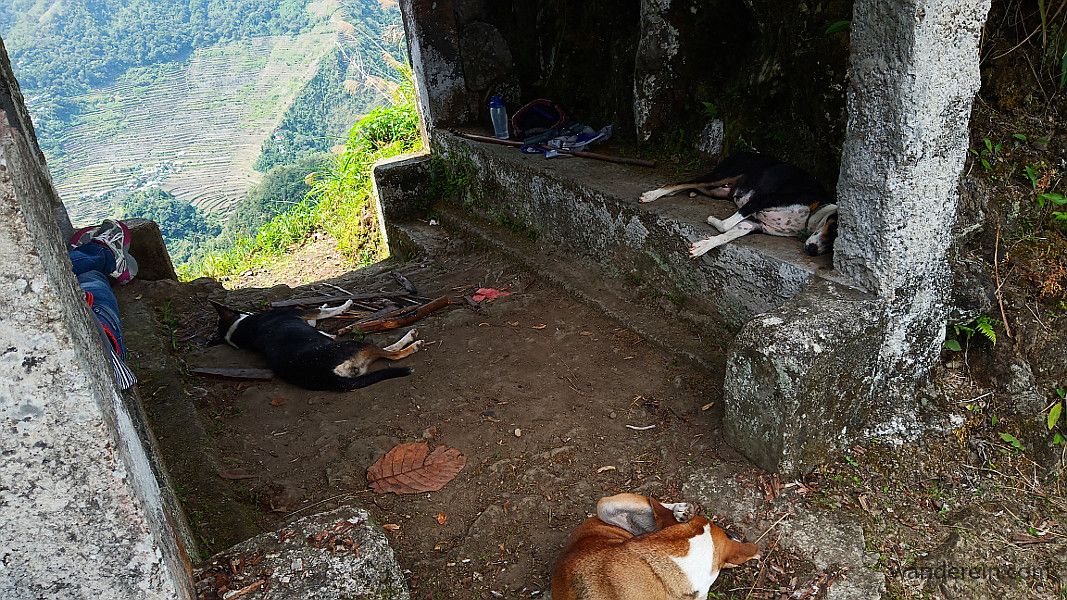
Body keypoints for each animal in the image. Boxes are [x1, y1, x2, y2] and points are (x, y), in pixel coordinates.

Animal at [210, 298, 418, 392]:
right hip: (355, 344)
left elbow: (321, 318)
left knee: (385, 353)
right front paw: (345, 305)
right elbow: (324, 311)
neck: (242, 327)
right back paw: (411, 340)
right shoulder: (305, 314)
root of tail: (325, 375)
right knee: (393, 354)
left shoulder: (310, 322)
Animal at [635, 149, 836, 257]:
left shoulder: (754, 224)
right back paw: (652, 195)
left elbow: (726, 235)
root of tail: (744, 151)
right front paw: (712, 220)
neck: (813, 212)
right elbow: (725, 225)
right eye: (834, 229)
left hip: (717, 190)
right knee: (679, 182)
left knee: (690, 186)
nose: (812, 251)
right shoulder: (761, 200)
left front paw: (702, 247)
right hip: (721, 175)